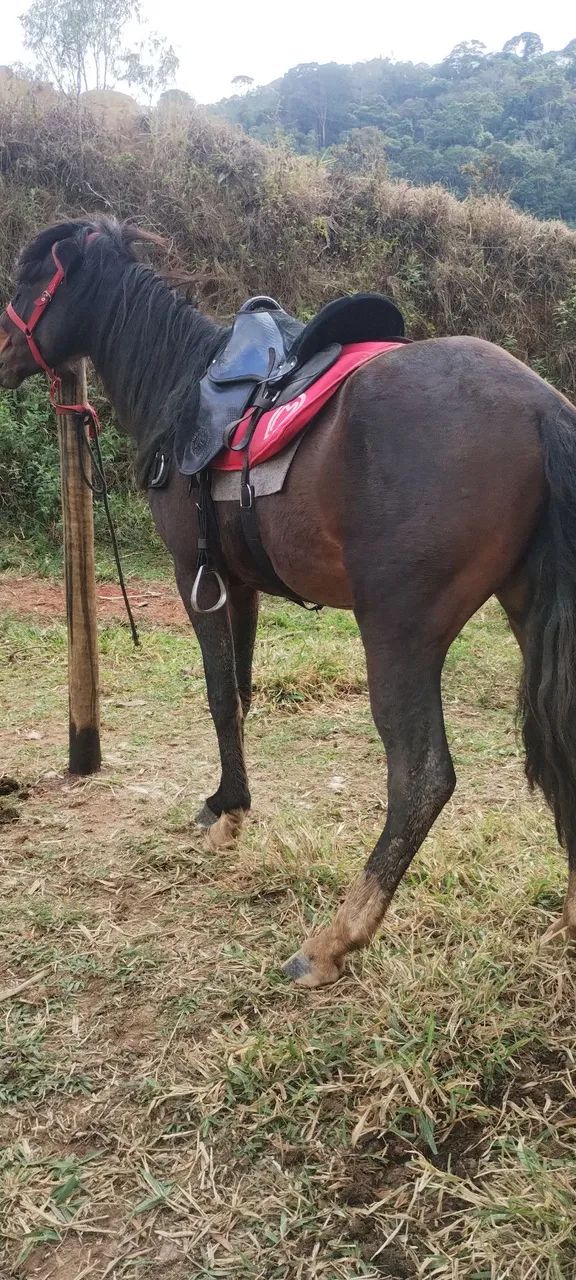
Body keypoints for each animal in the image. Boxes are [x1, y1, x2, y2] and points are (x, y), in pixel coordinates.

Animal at [1, 215, 576, 990]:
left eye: (29, 281)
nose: (0, 352)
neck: (184, 387)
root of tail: (542, 407)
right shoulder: (237, 583)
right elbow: (241, 695)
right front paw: (228, 801)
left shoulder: (194, 575)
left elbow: (219, 695)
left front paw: (227, 815)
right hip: (524, 608)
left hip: (398, 629)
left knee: (421, 777)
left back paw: (335, 939)